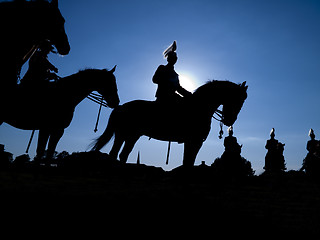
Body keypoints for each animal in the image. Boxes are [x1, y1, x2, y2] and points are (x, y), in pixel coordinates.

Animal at [92, 80, 248, 167]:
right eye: (239, 99)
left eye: (243, 100)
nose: (229, 121)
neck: (199, 107)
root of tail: (120, 107)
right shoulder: (194, 141)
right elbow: (188, 162)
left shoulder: (192, 142)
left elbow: (188, 161)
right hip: (127, 135)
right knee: (117, 154)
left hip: (128, 136)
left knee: (120, 154)